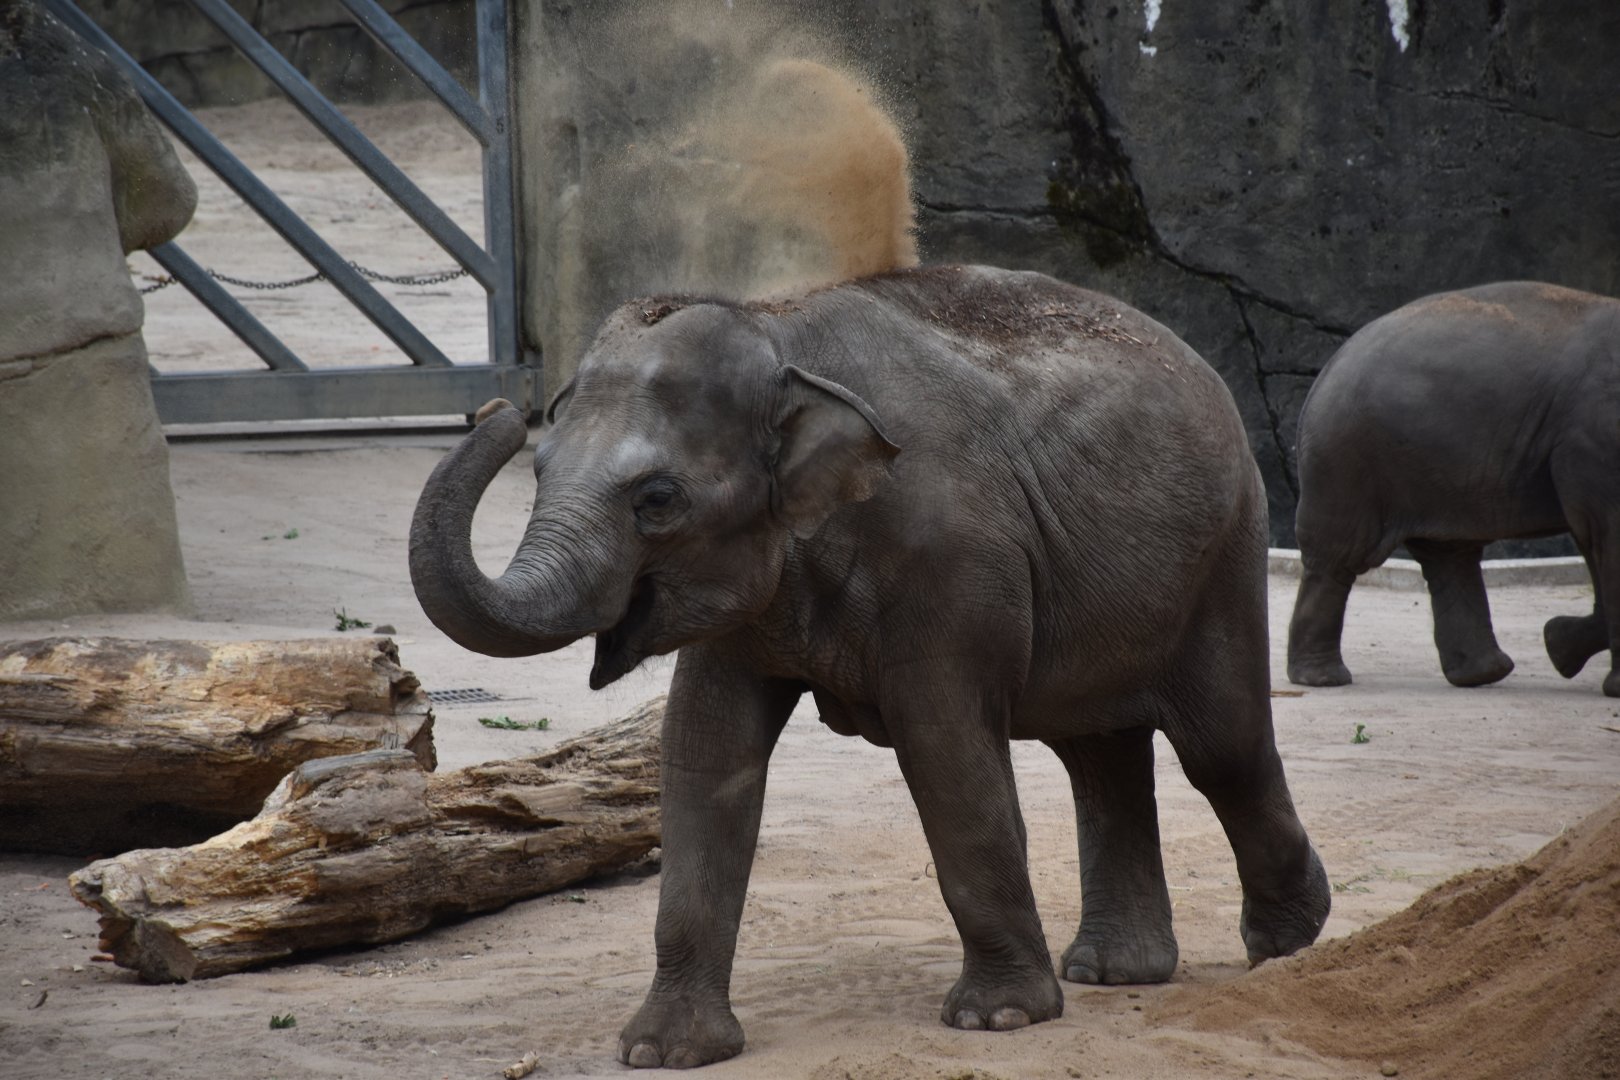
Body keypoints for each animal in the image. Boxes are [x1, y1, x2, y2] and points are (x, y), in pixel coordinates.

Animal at [410, 264, 1332, 1068]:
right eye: (537, 469)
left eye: (658, 499)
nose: (495, 406)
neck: (777, 328)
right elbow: (703, 753)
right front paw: (661, 1052)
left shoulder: (953, 562)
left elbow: (946, 750)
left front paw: (997, 1019)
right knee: (1100, 754)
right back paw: (1114, 973)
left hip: (1224, 552)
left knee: (1221, 748)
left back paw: (1289, 945)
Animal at [1287, 281, 1620, 697]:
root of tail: (1328, 369)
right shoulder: (1595, 436)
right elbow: (1606, 530)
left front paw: (1560, 644)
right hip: (1350, 460)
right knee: (1339, 557)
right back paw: (1323, 679)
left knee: (1450, 554)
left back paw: (1491, 671)